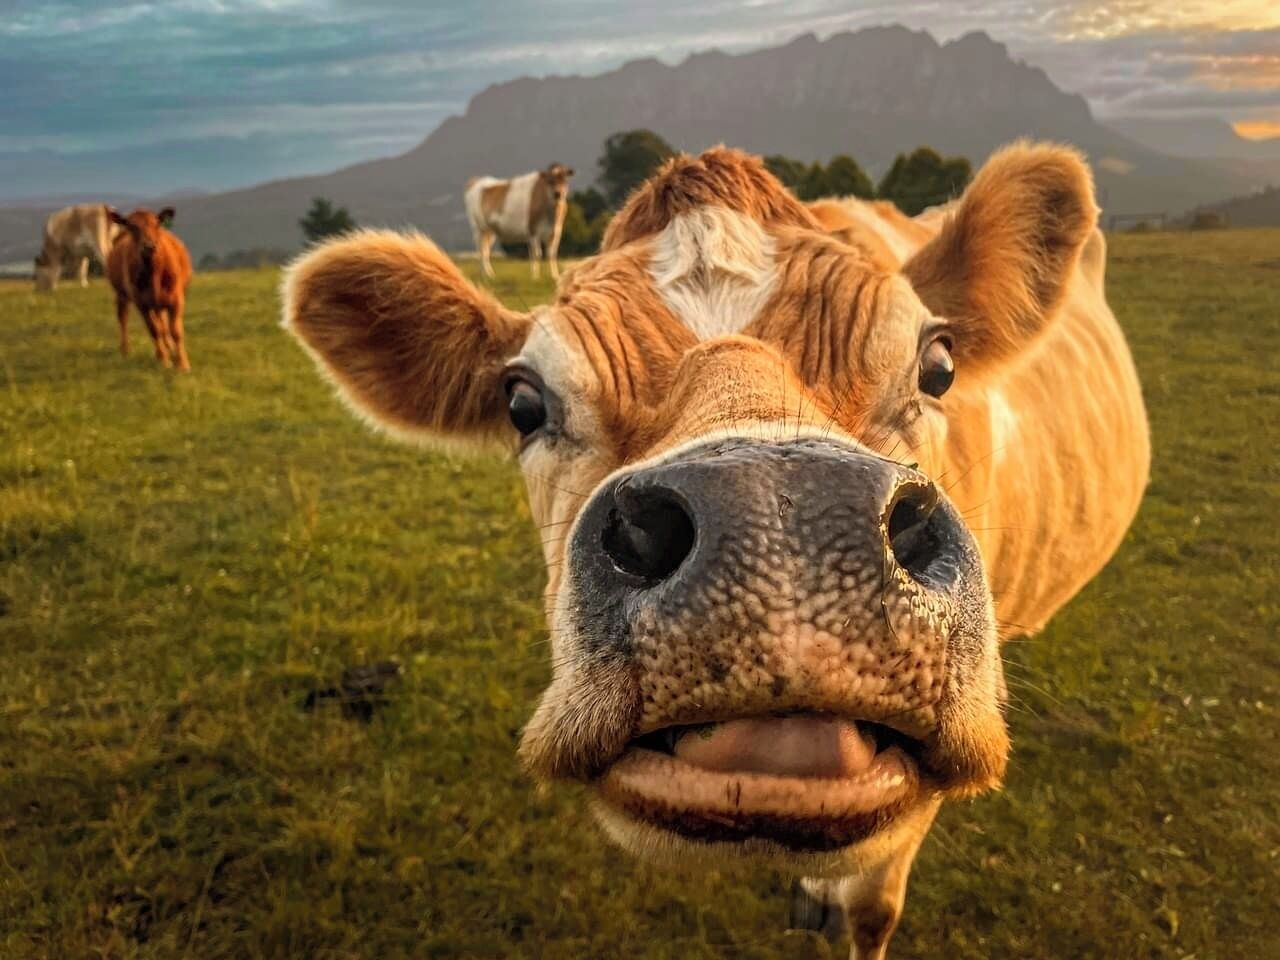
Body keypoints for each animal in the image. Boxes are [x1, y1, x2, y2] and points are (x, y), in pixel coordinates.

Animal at [106, 207, 193, 372]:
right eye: (133, 227)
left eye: (156, 224)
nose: (149, 246)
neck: (154, 274)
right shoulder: (142, 304)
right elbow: (154, 330)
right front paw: (164, 361)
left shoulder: (176, 299)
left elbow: (175, 331)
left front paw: (182, 364)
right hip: (121, 295)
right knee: (123, 318)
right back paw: (126, 350)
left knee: (163, 323)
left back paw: (169, 347)